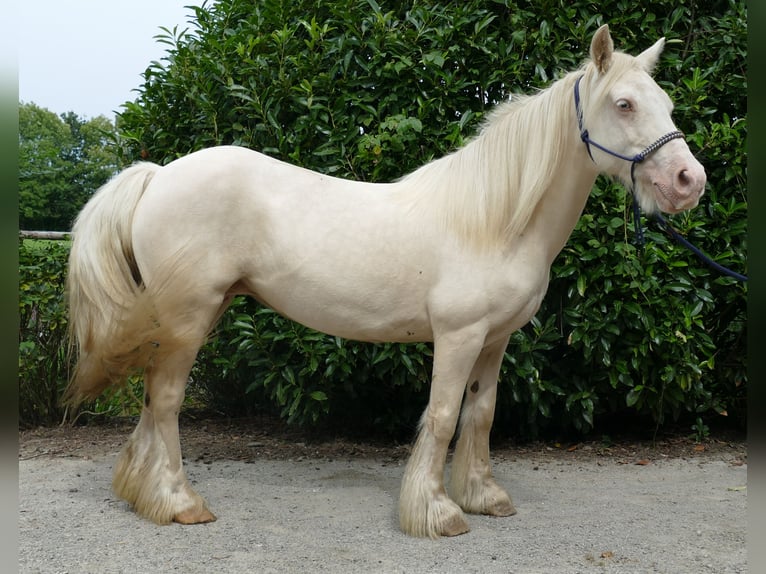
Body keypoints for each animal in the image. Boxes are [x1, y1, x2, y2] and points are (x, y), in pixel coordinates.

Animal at [66, 25, 708, 540]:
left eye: (667, 102)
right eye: (624, 104)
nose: (689, 181)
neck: (494, 220)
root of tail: (158, 176)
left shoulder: (495, 339)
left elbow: (481, 413)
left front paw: (484, 496)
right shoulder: (458, 336)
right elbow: (443, 416)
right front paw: (437, 513)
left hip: (188, 316)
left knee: (151, 400)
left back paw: (142, 492)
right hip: (189, 317)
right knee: (167, 401)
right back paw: (180, 503)